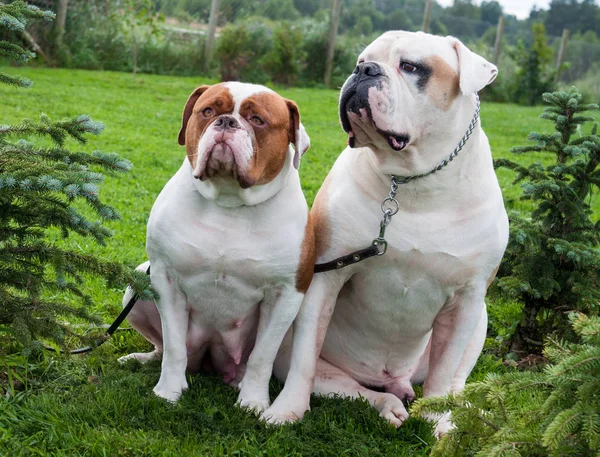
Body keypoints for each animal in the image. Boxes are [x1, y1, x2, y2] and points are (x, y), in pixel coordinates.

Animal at [118, 82, 314, 414]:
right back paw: (142, 359)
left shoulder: (286, 294)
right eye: (207, 111)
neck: (229, 202)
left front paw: (253, 402)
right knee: (163, 346)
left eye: (258, 120)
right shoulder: (165, 278)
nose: (226, 122)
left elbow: (262, 356)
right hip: (138, 283)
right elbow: (173, 345)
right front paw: (168, 392)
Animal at [260, 32, 508, 434]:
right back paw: (389, 405)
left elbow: (443, 376)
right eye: (361, 61)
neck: (414, 182)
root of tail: (394, 378)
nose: (364, 71)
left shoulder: (467, 299)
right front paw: (287, 410)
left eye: (411, 67)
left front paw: (442, 423)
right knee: (352, 387)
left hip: (479, 317)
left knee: (454, 380)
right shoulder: (326, 278)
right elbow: (304, 361)